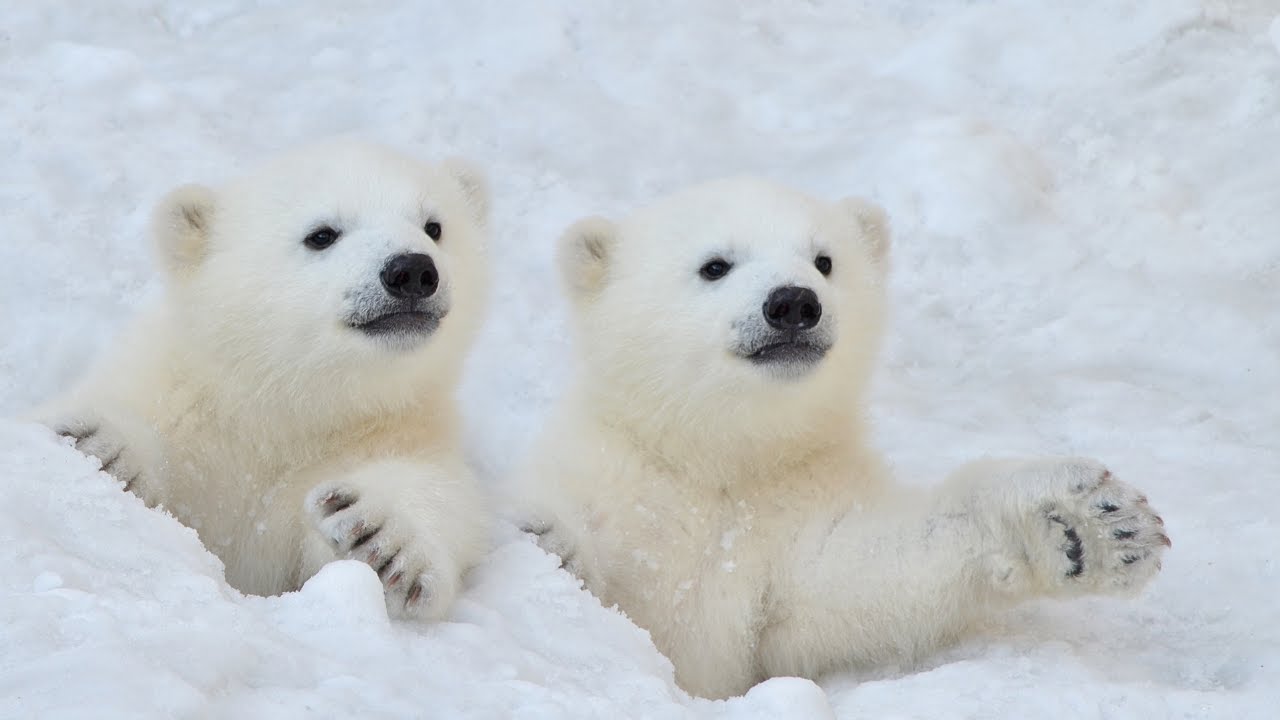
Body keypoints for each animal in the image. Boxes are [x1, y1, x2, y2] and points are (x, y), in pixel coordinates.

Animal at [32, 140, 491, 621]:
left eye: (434, 226)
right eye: (322, 234)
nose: (412, 271)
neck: (281, 409)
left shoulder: (396, 432)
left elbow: (440, 499)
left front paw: (381, 537)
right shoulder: (182, 404)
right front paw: (100, 446)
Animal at [517, 177, 1171, 699]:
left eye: (824, 260)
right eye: (715, 265)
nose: (792, 303)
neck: (720, 460)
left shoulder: (794, 512)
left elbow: (857, 574)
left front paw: (1086, 523)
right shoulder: (622, 490)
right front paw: (545, 539)